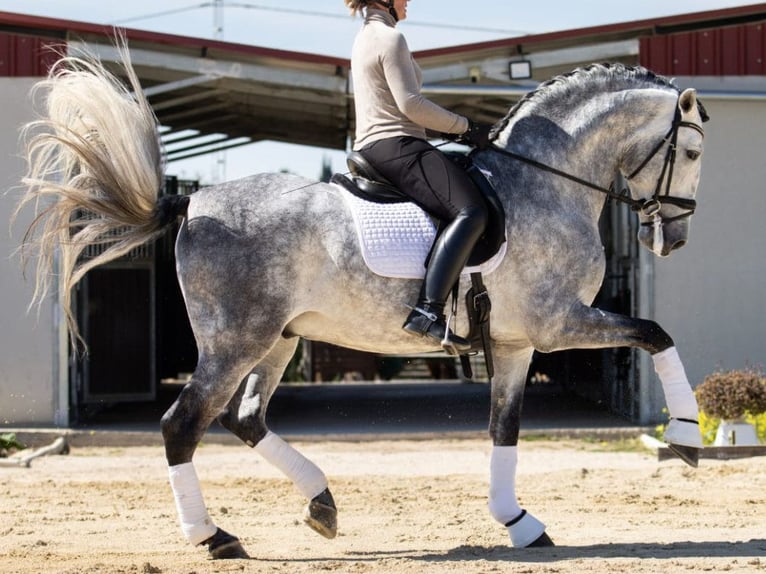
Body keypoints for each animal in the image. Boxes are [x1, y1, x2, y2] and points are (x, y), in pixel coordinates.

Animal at [16, 41, 708, 564]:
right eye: (694, 151)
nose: (673, 239)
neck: (544, 182)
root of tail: (193, 201)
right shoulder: (559, 322)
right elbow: (657, 332)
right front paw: (684, 436)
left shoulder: (516, 343)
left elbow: (504, 431)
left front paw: (519, 523)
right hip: (235, 341)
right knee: (182, 424)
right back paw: (215, 537)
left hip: (280, 339)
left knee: (245, 419)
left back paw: (321, 505)